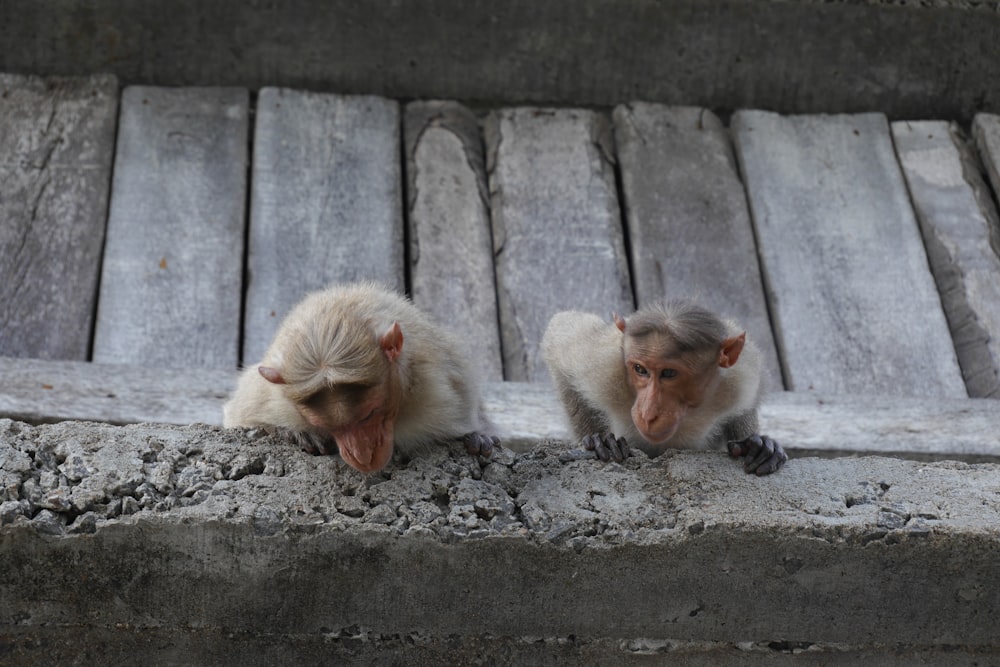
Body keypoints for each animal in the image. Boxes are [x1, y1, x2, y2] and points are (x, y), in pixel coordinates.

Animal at [223, 282, 496, 474]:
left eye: (369, 414)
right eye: (330, 427)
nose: (362, 456)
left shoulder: (442, 385)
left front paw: (477, 435)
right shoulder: (271, 398)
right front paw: (295, 432)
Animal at [544, 300, 784, 478]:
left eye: (669, 373)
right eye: (640, 369)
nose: (648, 413)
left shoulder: (742, 374)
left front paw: (757, 445)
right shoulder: (601, 363)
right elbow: (558, 337)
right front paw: (599, 441)